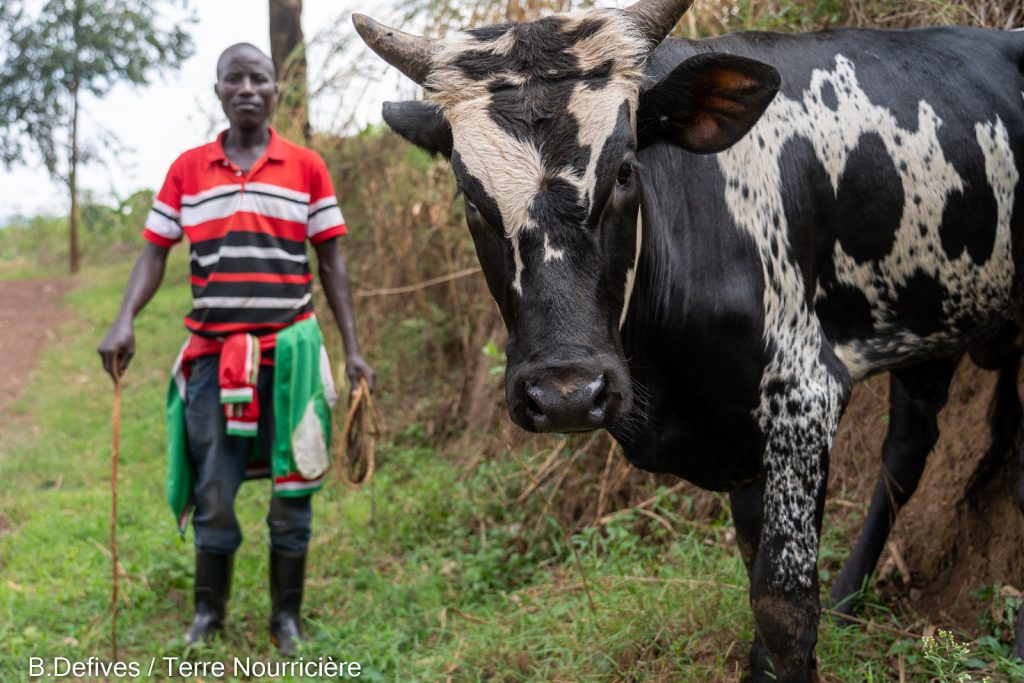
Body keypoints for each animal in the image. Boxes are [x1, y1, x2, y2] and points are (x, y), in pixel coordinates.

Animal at [352, 2, 1024, 679]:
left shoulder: (802, 398)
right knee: (910, 448)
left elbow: (782, 606)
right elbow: (755, 570)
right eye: (470, 195)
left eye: (626, 170)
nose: (567, 395)